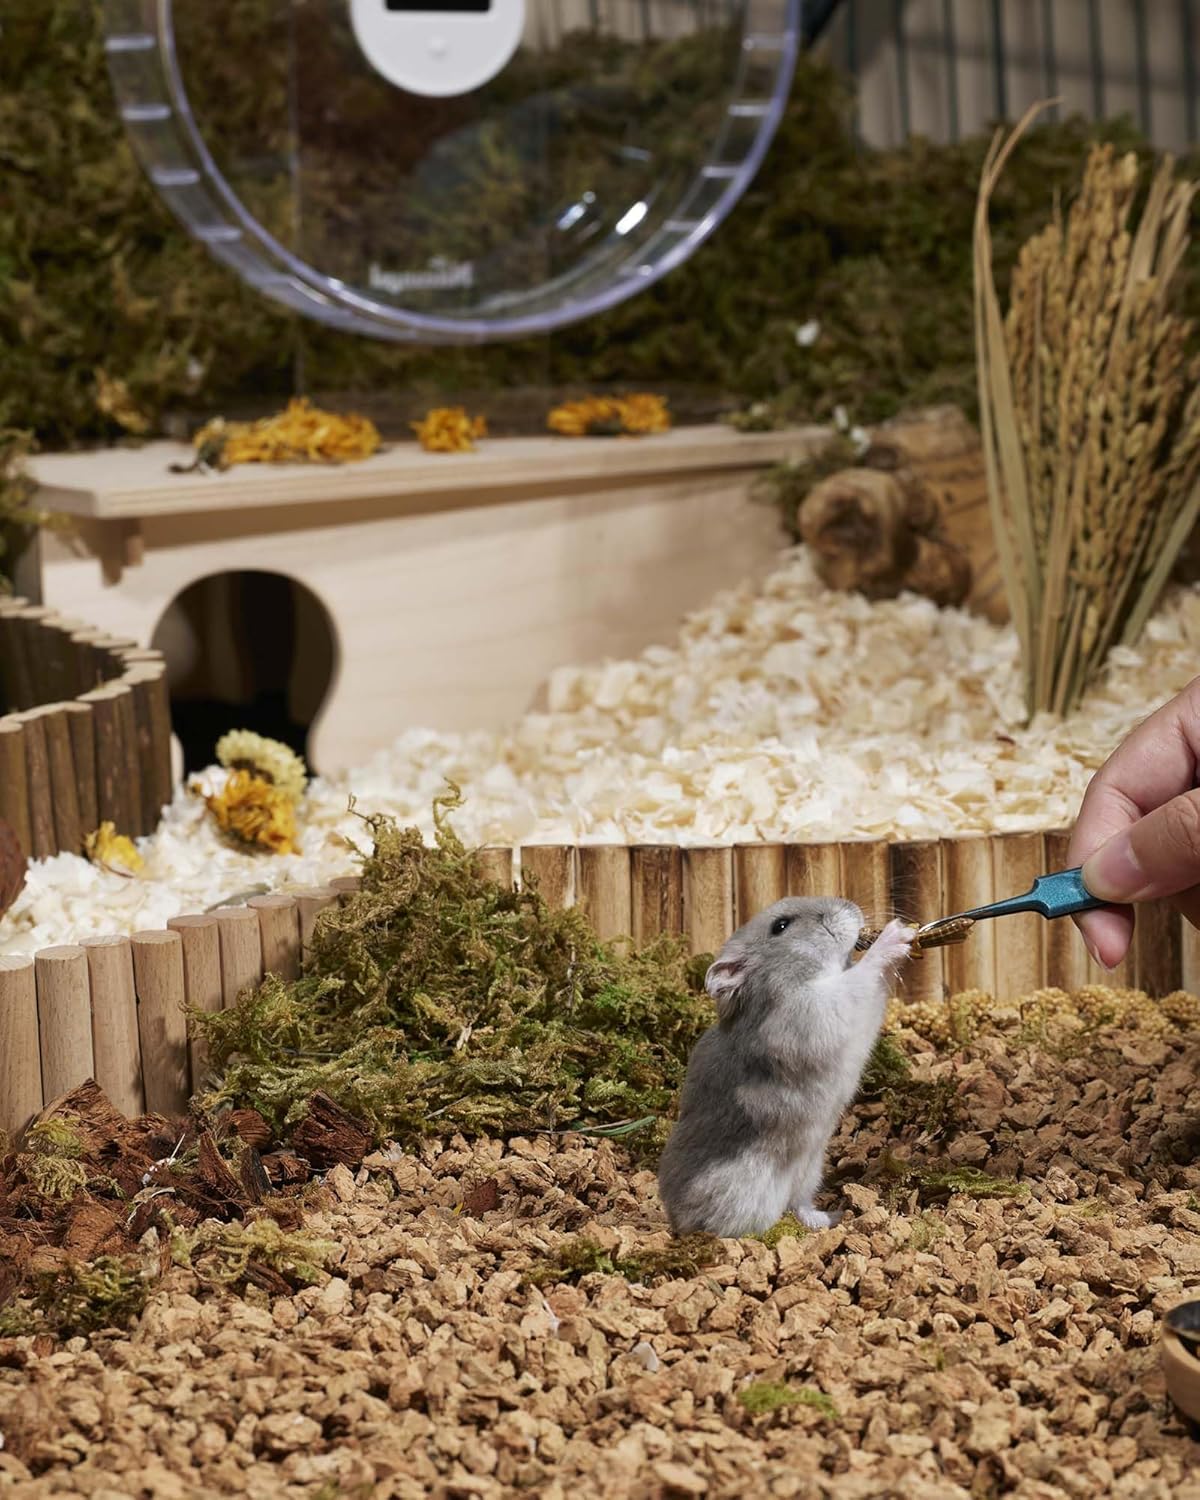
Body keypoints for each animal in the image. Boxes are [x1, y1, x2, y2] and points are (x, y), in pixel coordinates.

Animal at [657, 897, 913, 1239]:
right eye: (781, 926)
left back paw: (830, 1217)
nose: (851, 907)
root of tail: (677, 1222)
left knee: (799, 1204)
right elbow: (859, 978)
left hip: (808, 1172)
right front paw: (898, 934)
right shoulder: (813, 1011)